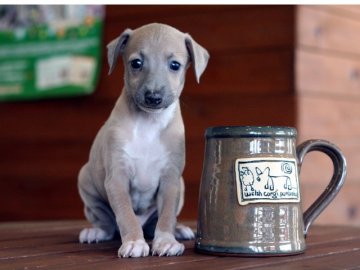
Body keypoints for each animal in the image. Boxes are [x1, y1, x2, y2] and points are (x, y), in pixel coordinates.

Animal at [77, 23, 210, 258]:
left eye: (175, 65)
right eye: (136, 63)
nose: (153, 97)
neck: (149, 123)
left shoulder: (171, 179)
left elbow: (166, 216)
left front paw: (166, 241)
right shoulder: (117, 178)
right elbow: (125, 214)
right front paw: (134, 241)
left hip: (181, 186)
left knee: (154, 222)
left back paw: (179, 229)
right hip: (86, 182)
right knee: (107, 221)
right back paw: (96, 231)